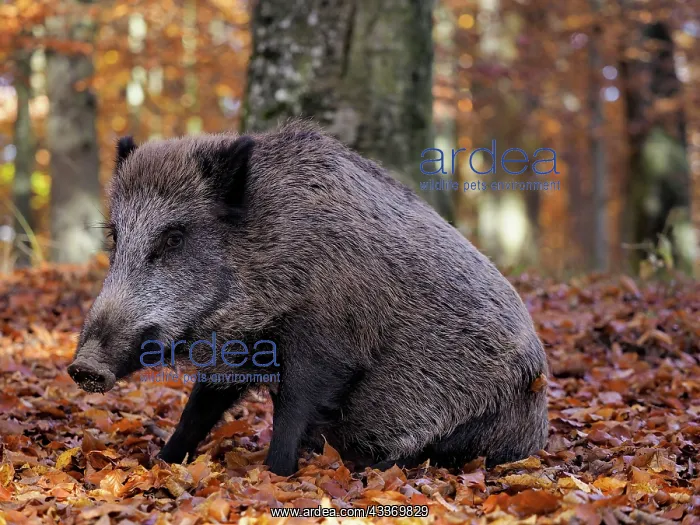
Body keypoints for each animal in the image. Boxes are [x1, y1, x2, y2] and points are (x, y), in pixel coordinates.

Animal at [68, 121, 549, 476]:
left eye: (173, 237)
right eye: (116, 236)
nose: (84, 367)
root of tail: (538, 433)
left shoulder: (328, 343)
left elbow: (293, 408)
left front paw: (276, 474)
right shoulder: (236, 351)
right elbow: (199, 408)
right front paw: (161, 463)